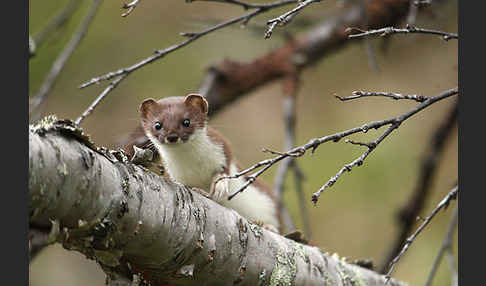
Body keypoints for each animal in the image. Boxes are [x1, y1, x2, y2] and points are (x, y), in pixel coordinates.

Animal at [139, 94, 280, 232]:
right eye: (157, 125)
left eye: (186, 121)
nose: (172, 136)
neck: (192, 164)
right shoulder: (173, 172)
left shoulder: (221, 147)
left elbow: (225, 166)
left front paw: (219, 187)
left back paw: (269, 226)